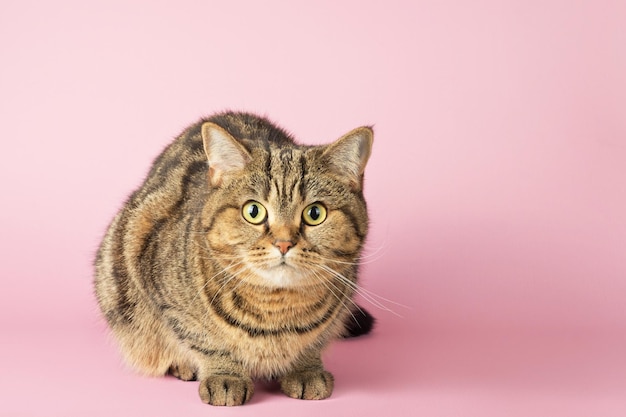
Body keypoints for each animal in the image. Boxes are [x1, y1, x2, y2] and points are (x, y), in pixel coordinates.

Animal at [95, 109, 372, 404]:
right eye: (253, 211)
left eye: (315, 213)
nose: (284, 243)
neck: (276, 308)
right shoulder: (163, 294)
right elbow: (205, 340)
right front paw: (225, 375)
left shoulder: (344, 294)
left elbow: (314, 340)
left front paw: (306, 368)